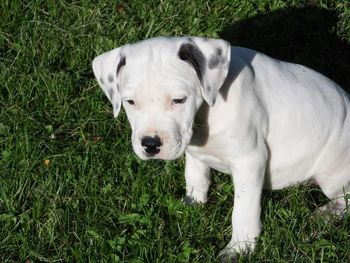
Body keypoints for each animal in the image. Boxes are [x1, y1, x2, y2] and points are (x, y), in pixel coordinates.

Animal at [92, 36, 350, 260]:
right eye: (130, 102)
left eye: (179, 100)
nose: (151, 144)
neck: (207, 109)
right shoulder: (194, 149)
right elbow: (195, 176)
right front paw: (193, 203)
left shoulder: (249, 162)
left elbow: (243, 211)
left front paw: (239, 249)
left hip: (331, 175)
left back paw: (326, 215)